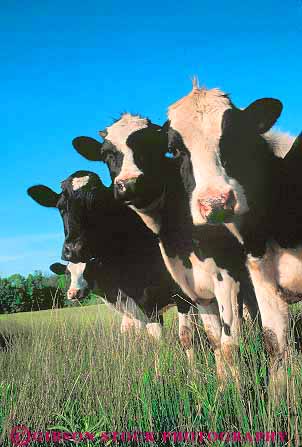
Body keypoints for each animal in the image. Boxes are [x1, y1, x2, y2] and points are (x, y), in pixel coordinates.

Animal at [72, 117, 258, 386]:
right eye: (107, 154)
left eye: (153, 146)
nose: (129, 184)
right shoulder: (175, 293)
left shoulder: (217, 281)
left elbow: (213, 340)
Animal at [162, 82, 300, 398]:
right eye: (174, 150)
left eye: (236, 134)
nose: (215, 202)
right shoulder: (261, 274)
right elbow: (274, 344)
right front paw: (276, 405)